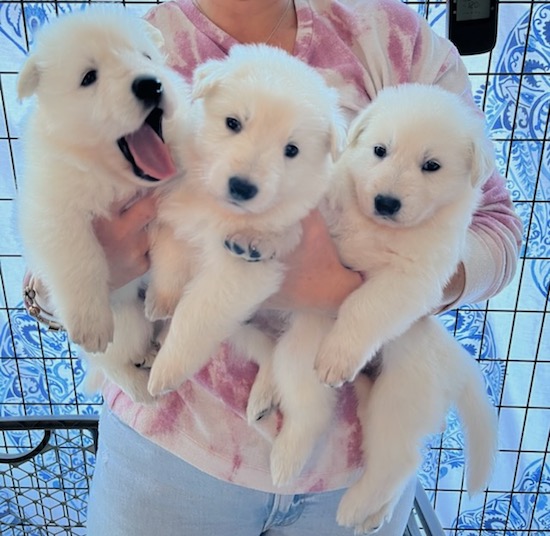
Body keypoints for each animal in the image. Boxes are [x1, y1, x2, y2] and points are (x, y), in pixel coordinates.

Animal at [17, 7, 190, 402]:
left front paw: (163, 297)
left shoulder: (181, 195)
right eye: (89, 77)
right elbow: (80, 256)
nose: (151, 84)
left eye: (146, 57)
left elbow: (174, 247)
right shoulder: (54, 213)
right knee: (112, 364)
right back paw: (142, 389)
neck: (118, 180)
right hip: (125, 324)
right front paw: (90, 322)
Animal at [147, 44, 344, 398]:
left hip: (304, 340)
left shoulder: (237, 277)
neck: (220, 211)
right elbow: (170, 257)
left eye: (291, 149)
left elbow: (195, 316)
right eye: (233, 123)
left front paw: (166, 371)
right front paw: (161, 299)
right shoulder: (179, 219)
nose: (242, 187)